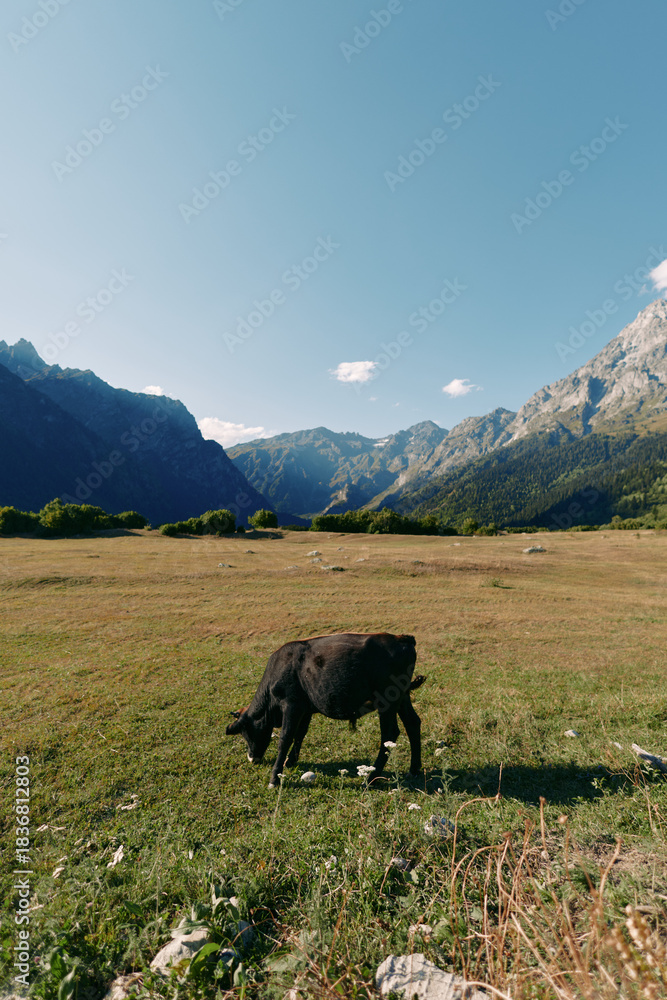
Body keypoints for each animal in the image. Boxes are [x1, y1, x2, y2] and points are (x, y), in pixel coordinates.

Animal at [226, 632, 425, 788]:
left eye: (246, 732)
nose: (252, 758)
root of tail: (402, 639)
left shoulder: (291, 705)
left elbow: (285, 738)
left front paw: (275, 777)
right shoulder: (305, 709)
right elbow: (300, 734)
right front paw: (291, 761)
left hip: (387, 702)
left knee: (389, 734)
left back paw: (372, 777)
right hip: (402, 697)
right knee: (413, 723)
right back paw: (414, 769)